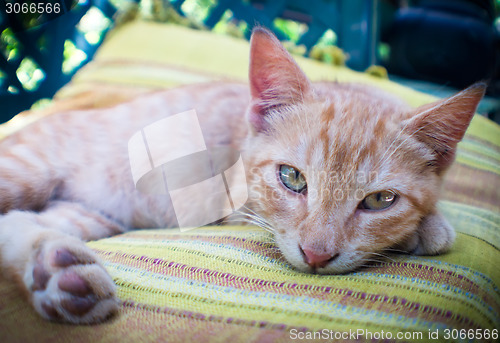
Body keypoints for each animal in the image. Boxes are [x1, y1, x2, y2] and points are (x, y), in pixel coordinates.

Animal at [0, 27, 484, 326]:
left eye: (380, 200)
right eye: (291, 178)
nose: (316, 255)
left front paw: (425, 226)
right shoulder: (231, 203)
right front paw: (427, 230)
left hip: (89, 215)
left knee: (19, 223)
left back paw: (58, 272)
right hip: (27, 169)